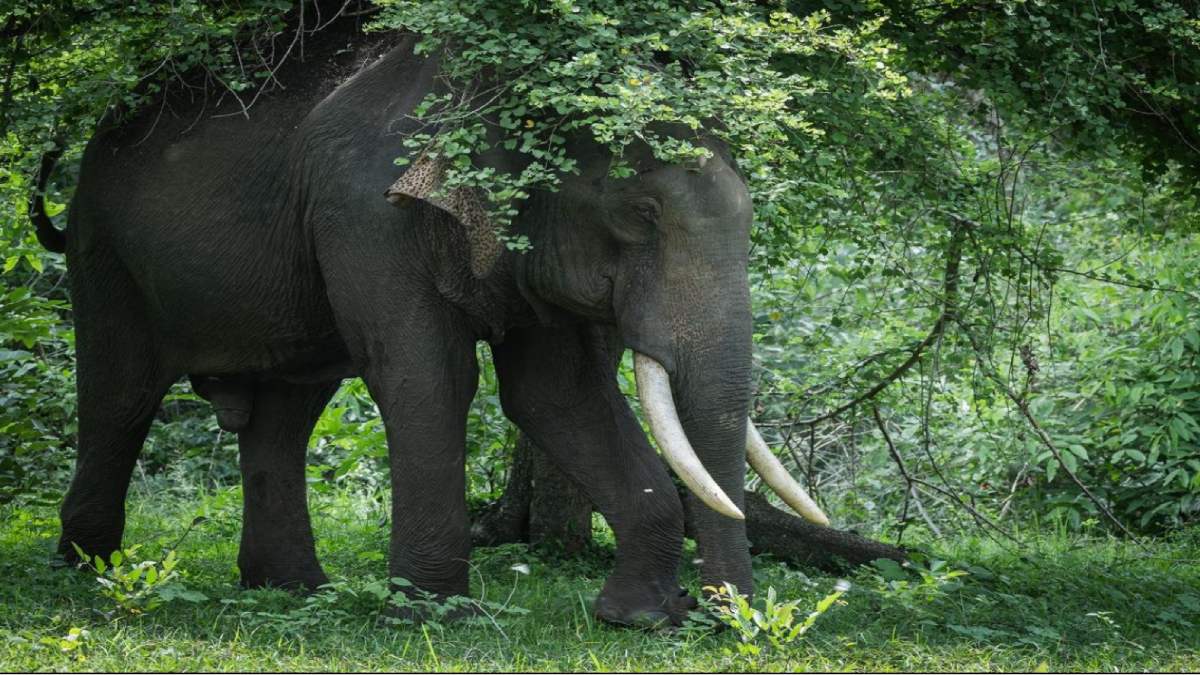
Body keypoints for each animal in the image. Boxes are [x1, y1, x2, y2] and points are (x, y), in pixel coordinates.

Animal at [30, 22, 827, 627]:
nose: (724, 621)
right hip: (104, 249)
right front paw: (433, 618)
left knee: (286, 414)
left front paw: (639, 618)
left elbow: (556, 395)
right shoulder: (368, 214)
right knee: (120, 395)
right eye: (643, 214)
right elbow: (429, 378)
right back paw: (89, 572)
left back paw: (292, 589)